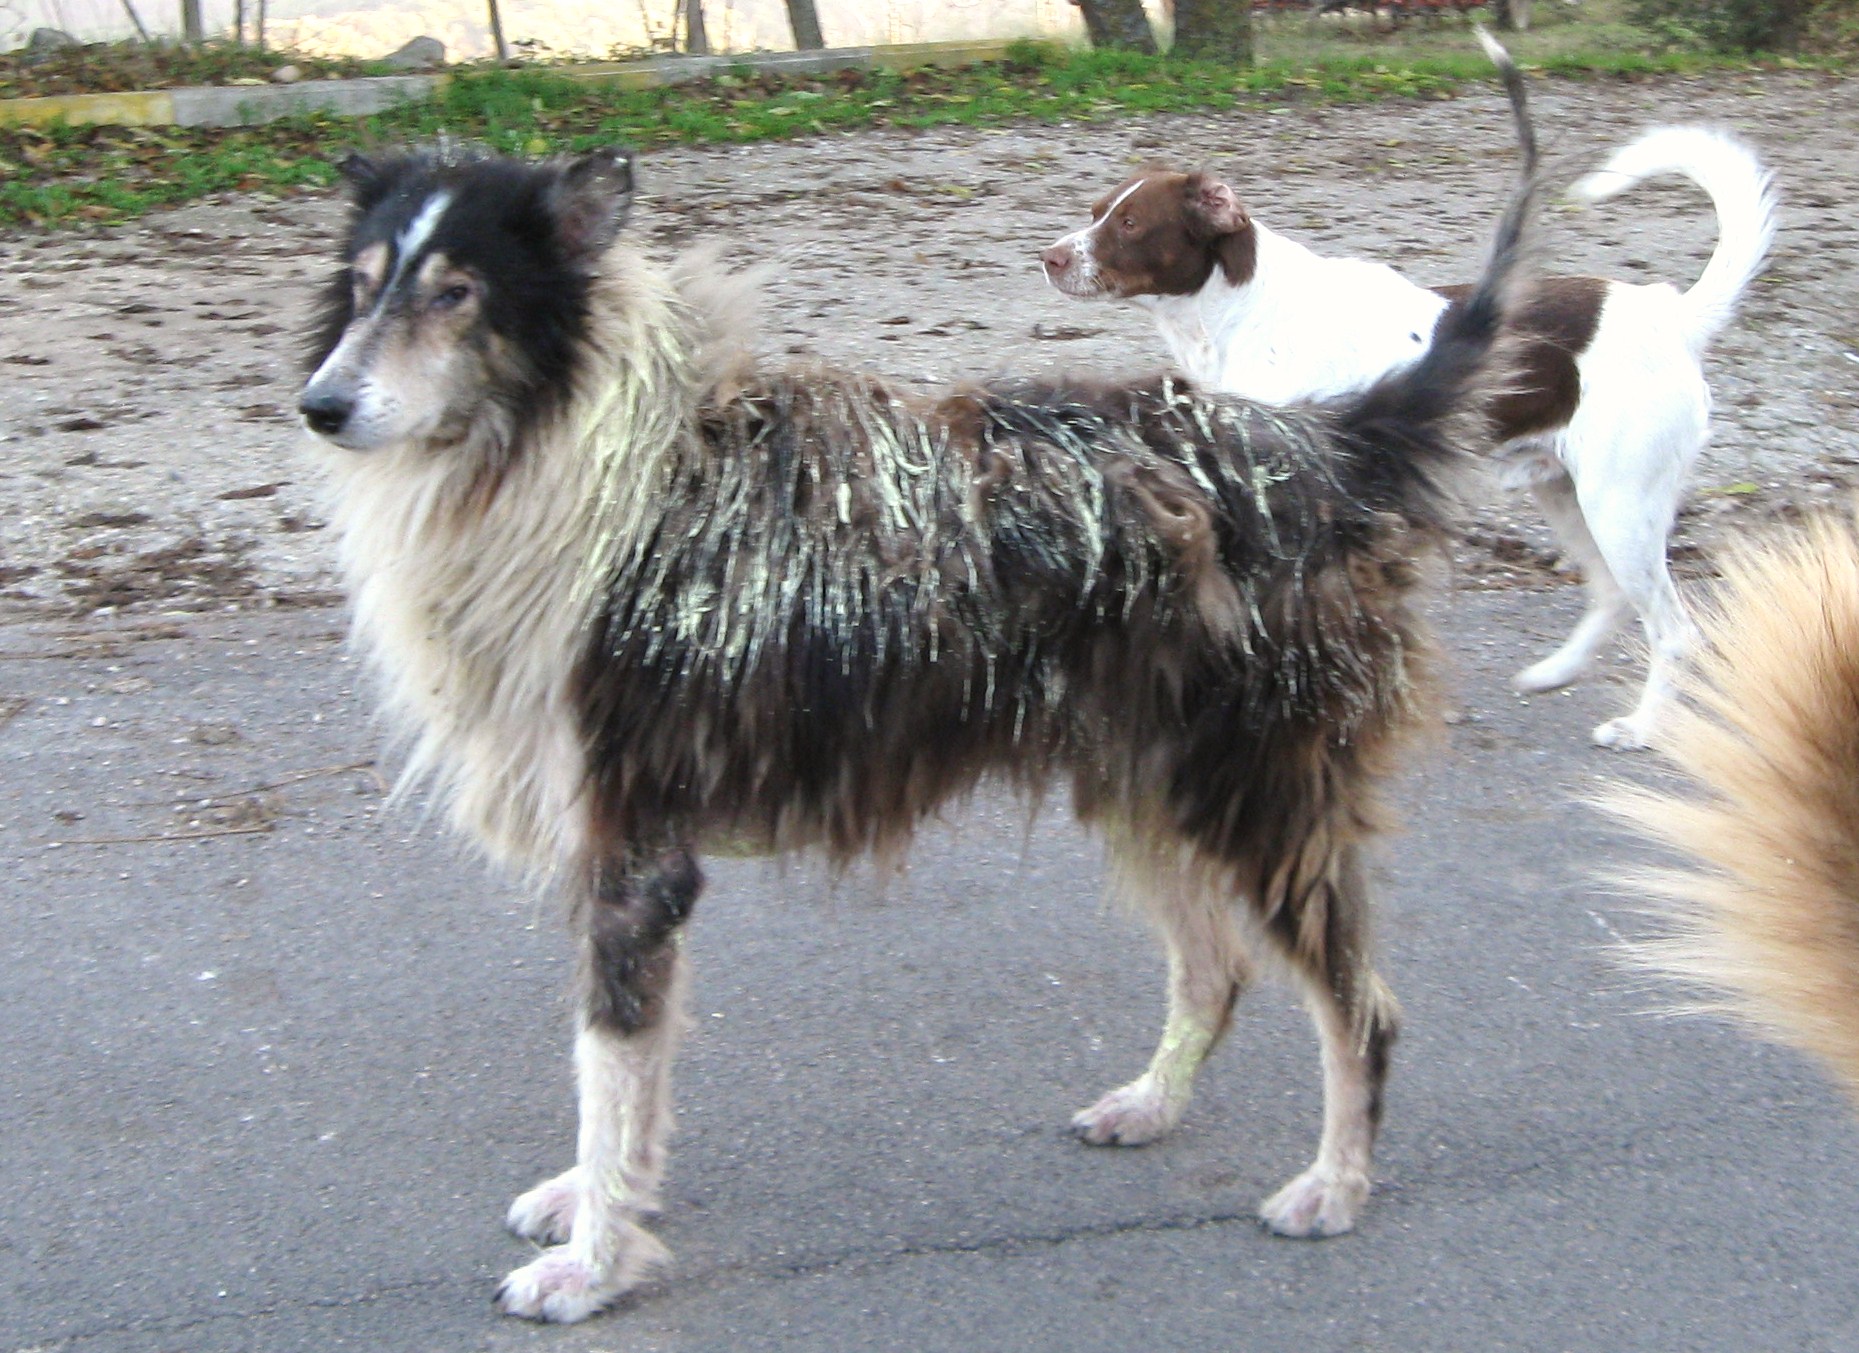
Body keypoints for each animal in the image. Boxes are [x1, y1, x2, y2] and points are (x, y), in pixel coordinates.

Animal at [297, 58, 1531, 1315]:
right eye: (361, 287)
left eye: (457, 294)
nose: (320, 408)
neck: (600, 464)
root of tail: (1319, 445)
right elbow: (629, 1081)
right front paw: (602, 1204)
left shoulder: (635, 855)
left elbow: (608, 1069)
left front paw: (594, 1258)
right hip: (1142, 776)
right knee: (1213, 969)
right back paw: (1151, 1104)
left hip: (1256, 793)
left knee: (1360, 1011)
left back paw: (1334, 1184)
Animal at [1041, 124, 1777, 750]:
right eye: (1097, 209)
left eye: (1130, 223)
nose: (1048, 257)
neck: (1245, 312)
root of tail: (1669, 315)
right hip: (1568, 496)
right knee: (1610, 594)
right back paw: (1555, 672)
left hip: (1619, 505)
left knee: (1674, 628)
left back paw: (1643, 728)